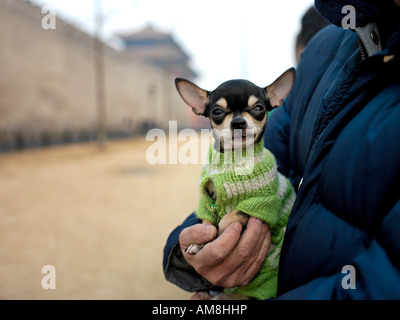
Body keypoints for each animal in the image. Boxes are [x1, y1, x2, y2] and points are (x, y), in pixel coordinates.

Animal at [176, 68, 296, 300]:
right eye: (217, 112)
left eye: (259, 108)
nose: (238, 122)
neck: (234, 159)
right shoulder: (207, 202)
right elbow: (207, 223)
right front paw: (199, 242)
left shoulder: (262, 204)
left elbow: (229, 218)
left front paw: (216, 237)